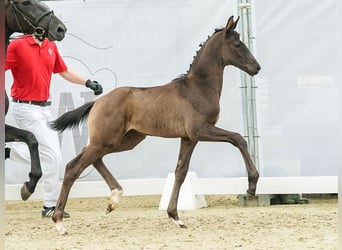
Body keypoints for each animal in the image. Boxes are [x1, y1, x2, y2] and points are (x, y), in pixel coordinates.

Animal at [49, 15, 260, 234]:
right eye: (238, 44)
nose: (256, 67)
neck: (199, 87)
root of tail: (97, 101)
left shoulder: (188, 138)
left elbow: (180, 172)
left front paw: (175, 217)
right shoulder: (200, 131)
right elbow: (238, 138)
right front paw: (251, 186)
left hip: (124, 140)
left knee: (91, 157)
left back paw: (114, 199)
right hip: (107, 140)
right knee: (73, 167)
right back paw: (59, 222)